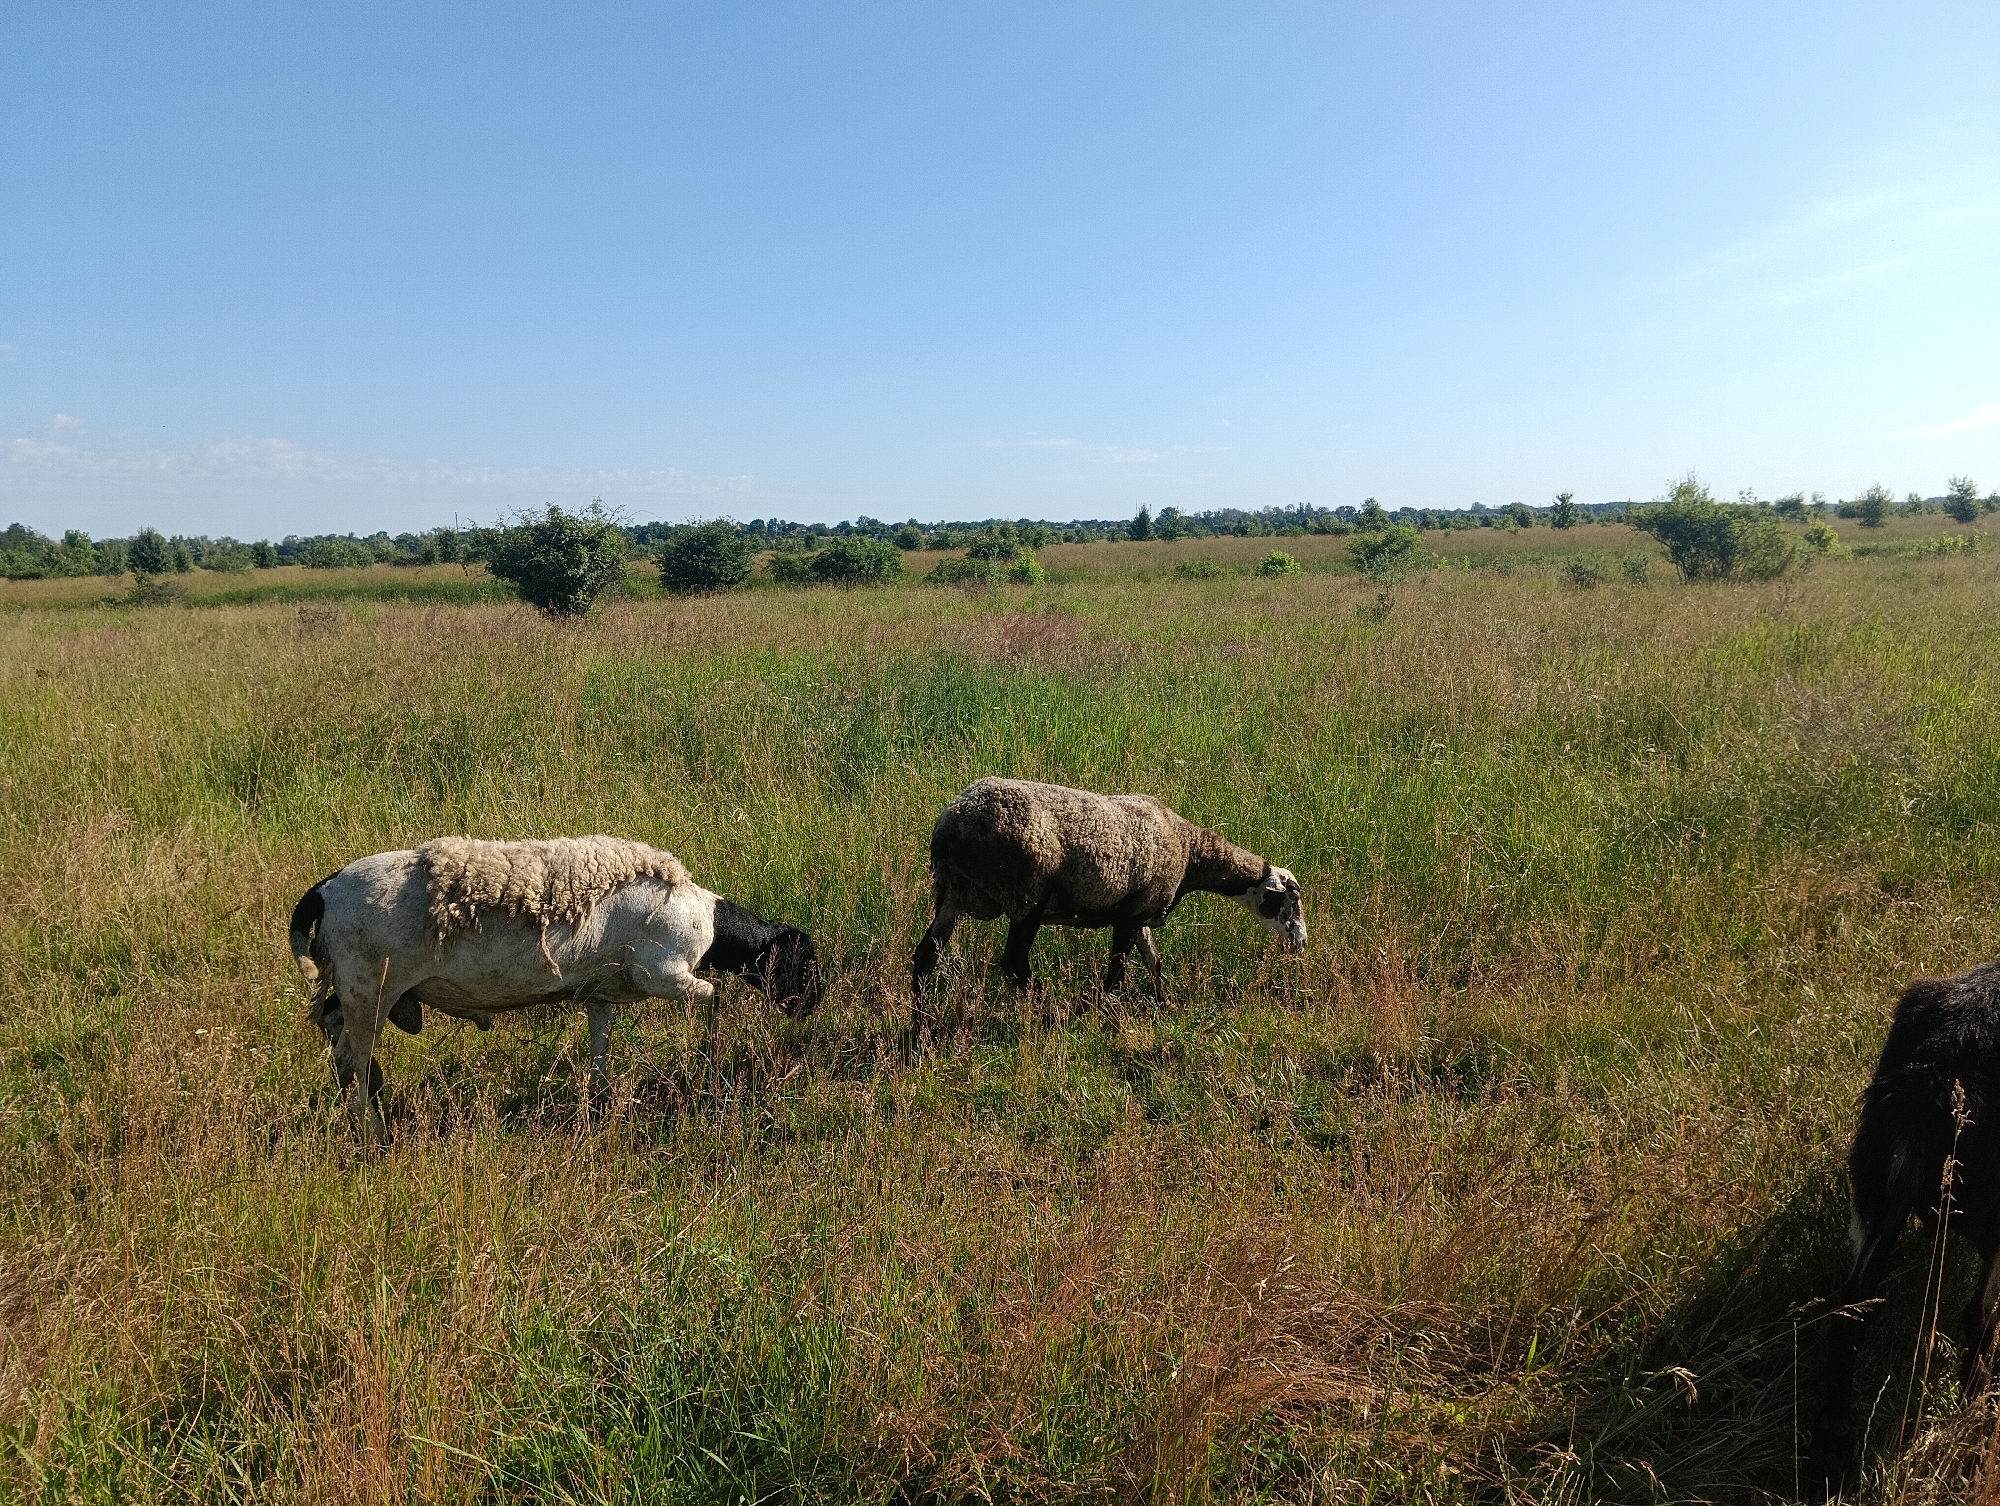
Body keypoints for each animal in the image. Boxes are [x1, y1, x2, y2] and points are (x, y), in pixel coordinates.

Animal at [287, 835, 820, 1139]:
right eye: (803, 962)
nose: (811, 1007)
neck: (708, 922)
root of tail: (325, 890)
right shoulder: (665, 973)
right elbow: (714, 998)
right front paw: (708, 1058)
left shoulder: (602, 995)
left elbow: (600, 1050)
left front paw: (600, 1107)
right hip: (369, 989)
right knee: (349, 1058)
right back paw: (374, 1135)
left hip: (358, 989)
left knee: (334, 1031)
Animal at [911, 777, 1306, 1034]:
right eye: (1292, 899)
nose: (1300, 945)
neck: (1190, 852)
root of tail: (950, 826)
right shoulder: (1129, 916)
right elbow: (1116, 973)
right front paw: (1092, 1011)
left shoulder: (1140, 910)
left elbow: (1154, 961)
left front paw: (1165, 1005)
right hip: (1027, 895)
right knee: (1014, 963)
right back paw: (1051, 1010)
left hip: (952, 893)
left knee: (926, 955)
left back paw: (920, 1024)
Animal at [1813, 959, 2000, 1488]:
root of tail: (1935, 1076)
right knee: (1977, 1316)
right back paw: (1975, 1419)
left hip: (1875, 1183)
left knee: (1852, 1307)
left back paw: (1833, 1447)